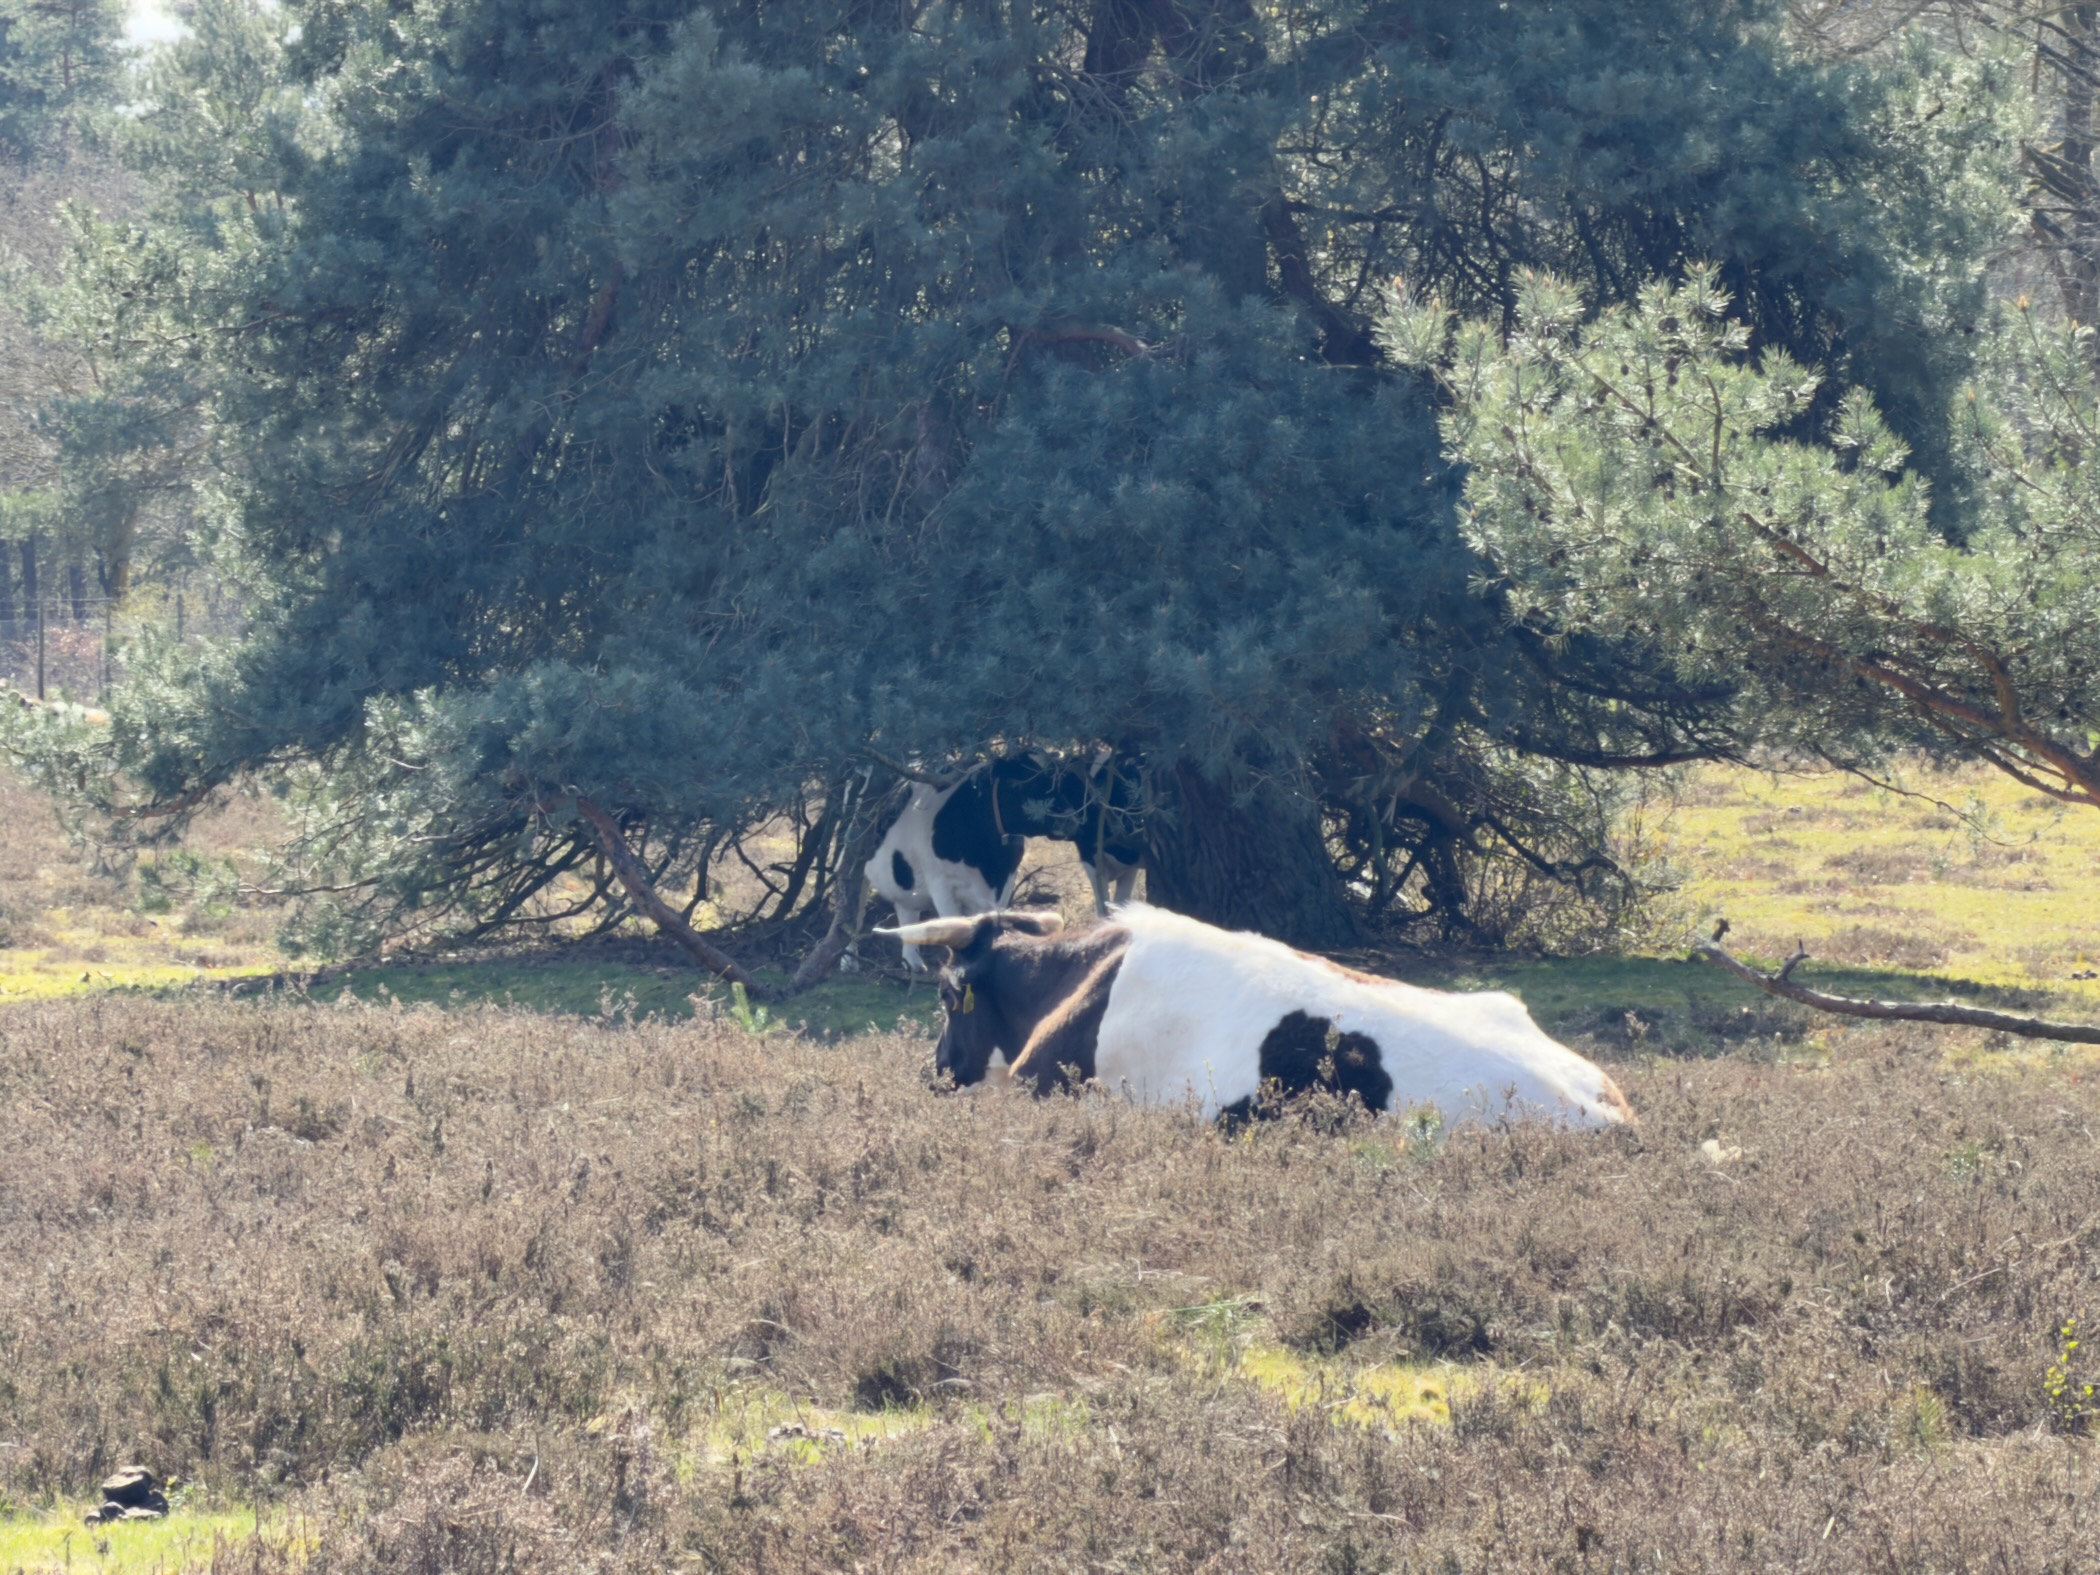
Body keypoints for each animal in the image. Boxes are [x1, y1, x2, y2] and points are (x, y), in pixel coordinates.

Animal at [866, 755, 1143, 967]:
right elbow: (950, 923)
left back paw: (912, 963)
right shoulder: (941, 883)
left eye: (1056, 780)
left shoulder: (1005, 879)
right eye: (1023, 781)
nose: (1071, 818)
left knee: (906, 911)